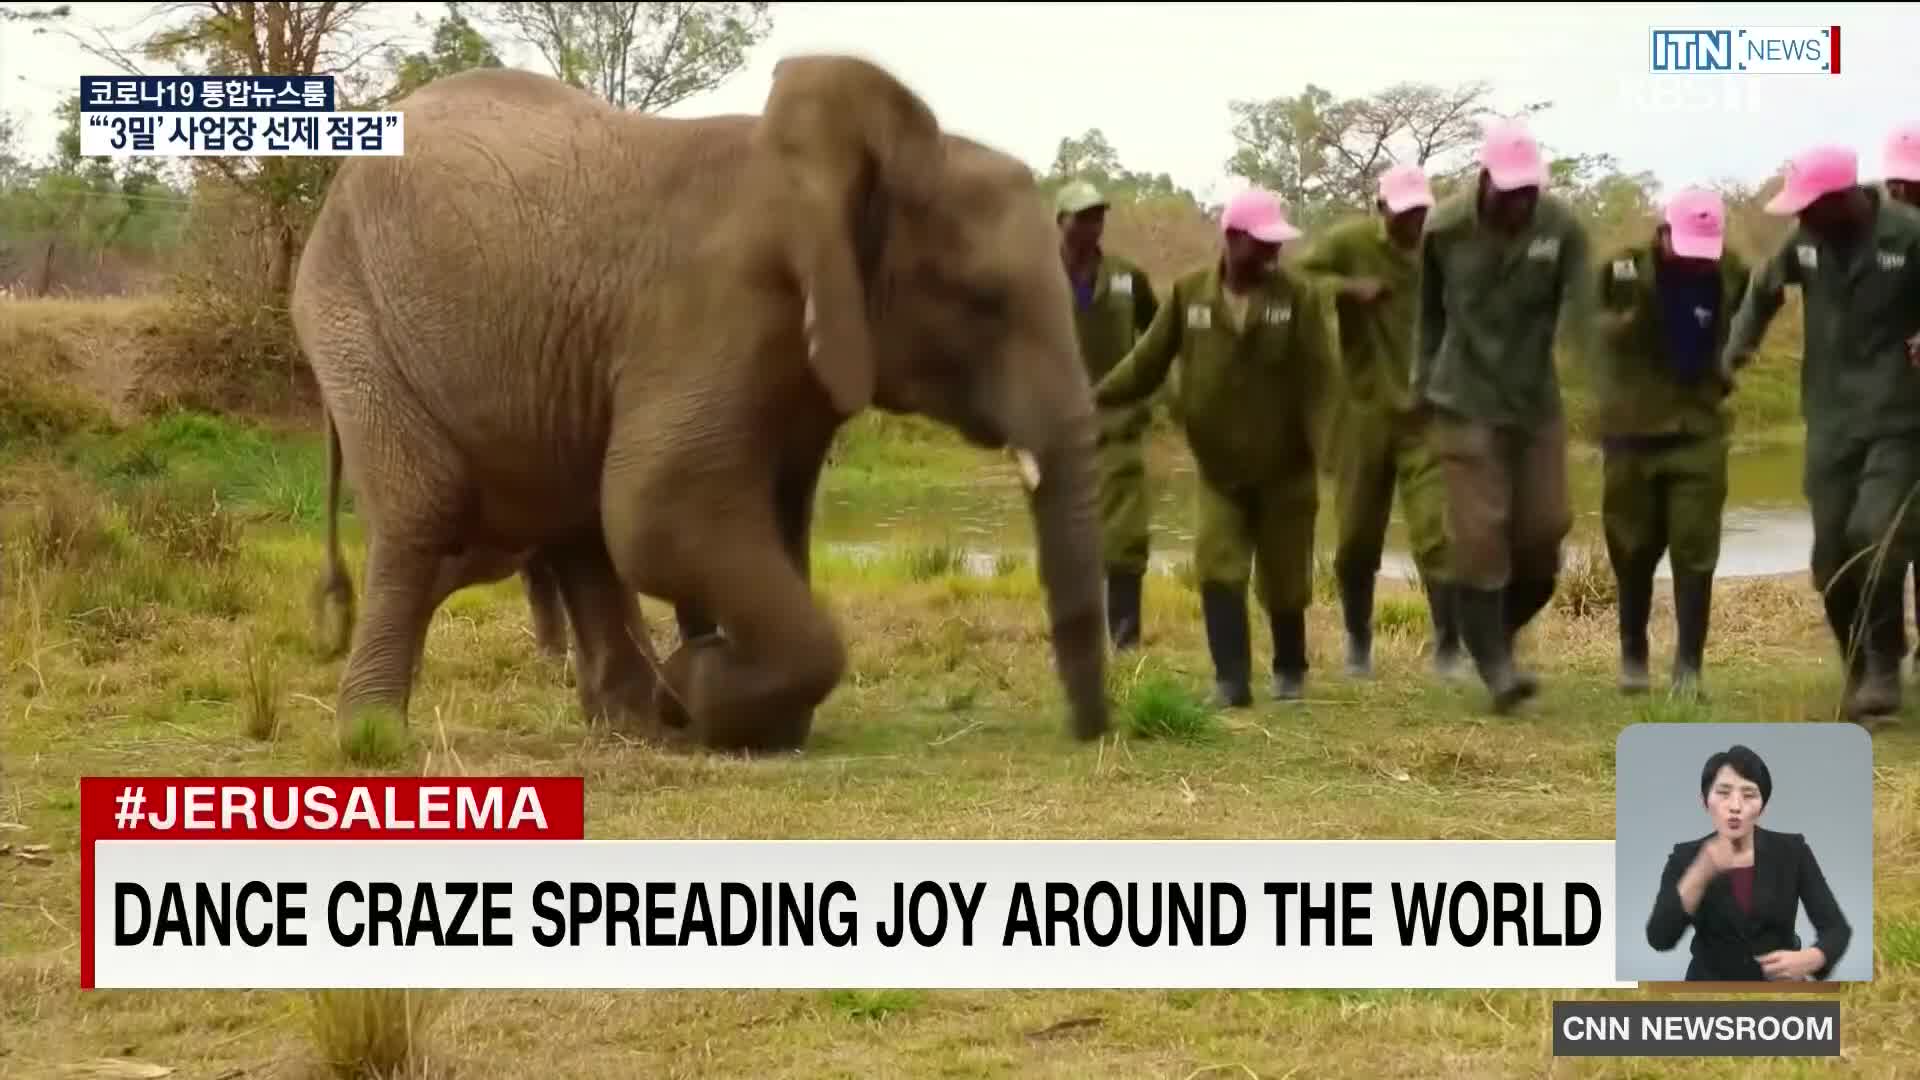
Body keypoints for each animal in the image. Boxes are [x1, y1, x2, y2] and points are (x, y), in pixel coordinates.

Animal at [291, 54, 1121, 753]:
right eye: (984, 301)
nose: (1088, 734)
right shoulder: (717, 311)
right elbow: (662, 511)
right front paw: (701, 683)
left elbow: (765, 518)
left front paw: (710, 699)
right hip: (351, 319)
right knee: (429, 513)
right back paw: (375, 740)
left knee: (569, 525)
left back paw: (634, 723)